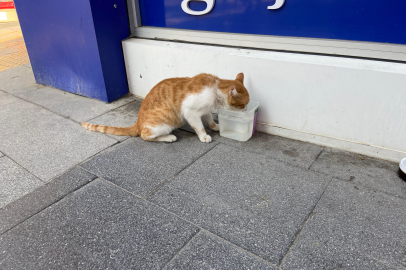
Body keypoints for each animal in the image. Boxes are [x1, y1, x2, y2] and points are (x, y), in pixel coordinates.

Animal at [81, 71, 249, 143]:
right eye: (244, 104)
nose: (247, 110)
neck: (215, 88)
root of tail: (138, 122)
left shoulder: (205, 110)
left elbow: (210, 121)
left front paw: (216, 127)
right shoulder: (190, 111)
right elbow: (199, 126)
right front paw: (204, 136)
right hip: (163, 125)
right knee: (145, 136)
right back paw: (168, 137)